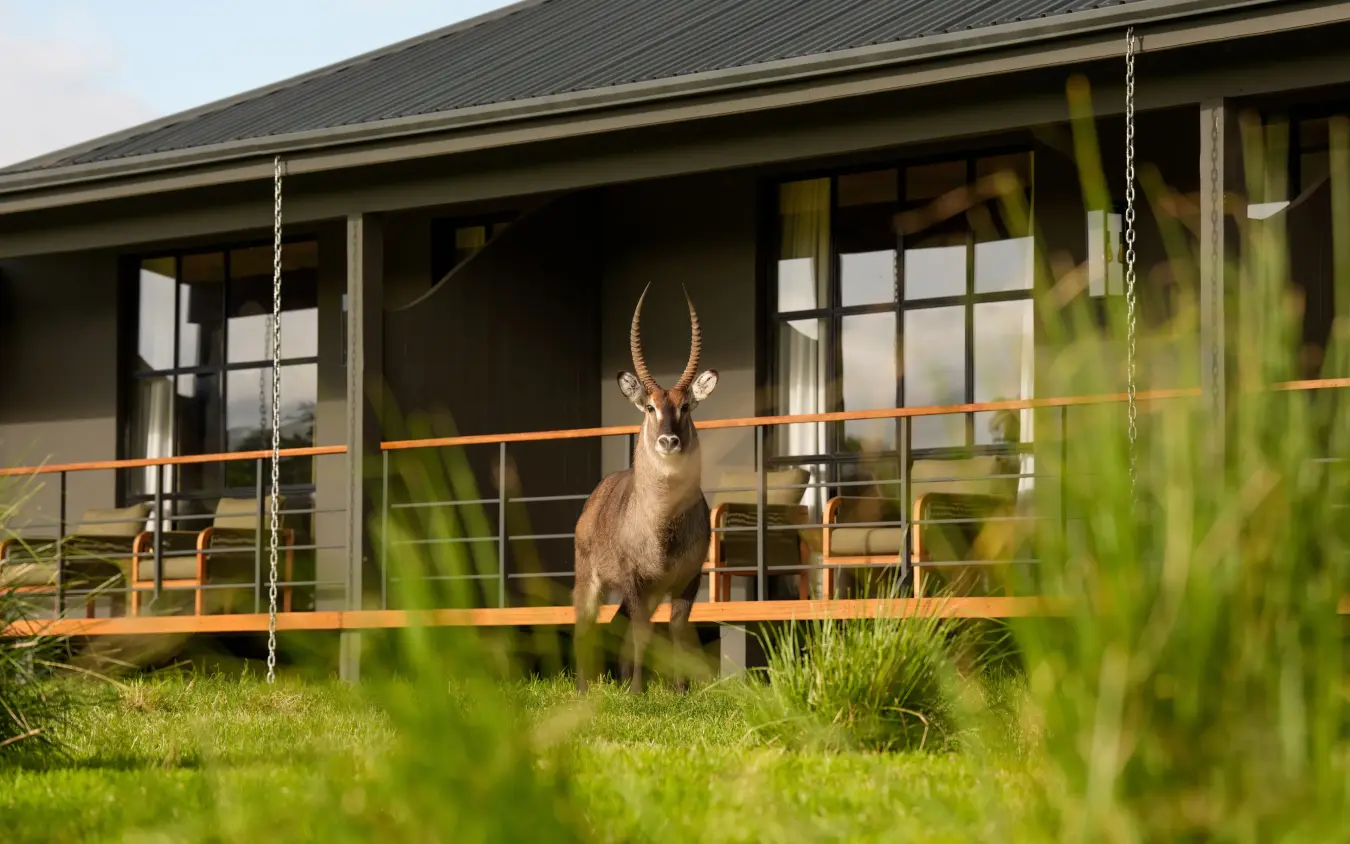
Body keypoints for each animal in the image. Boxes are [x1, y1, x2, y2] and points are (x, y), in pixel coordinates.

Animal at [573, 284, 719, 695]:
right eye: (650, 407)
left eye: (686, 406)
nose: (669, 441)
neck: (662, 527)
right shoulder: (634, 578)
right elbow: (641, 631)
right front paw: (639, 690)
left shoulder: (687, 579)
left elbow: (677, 629)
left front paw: (681, 690)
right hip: (590, 578)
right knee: (586, 626)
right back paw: (586, 688)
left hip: (650, 591)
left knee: (616, 622)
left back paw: (619, 682)